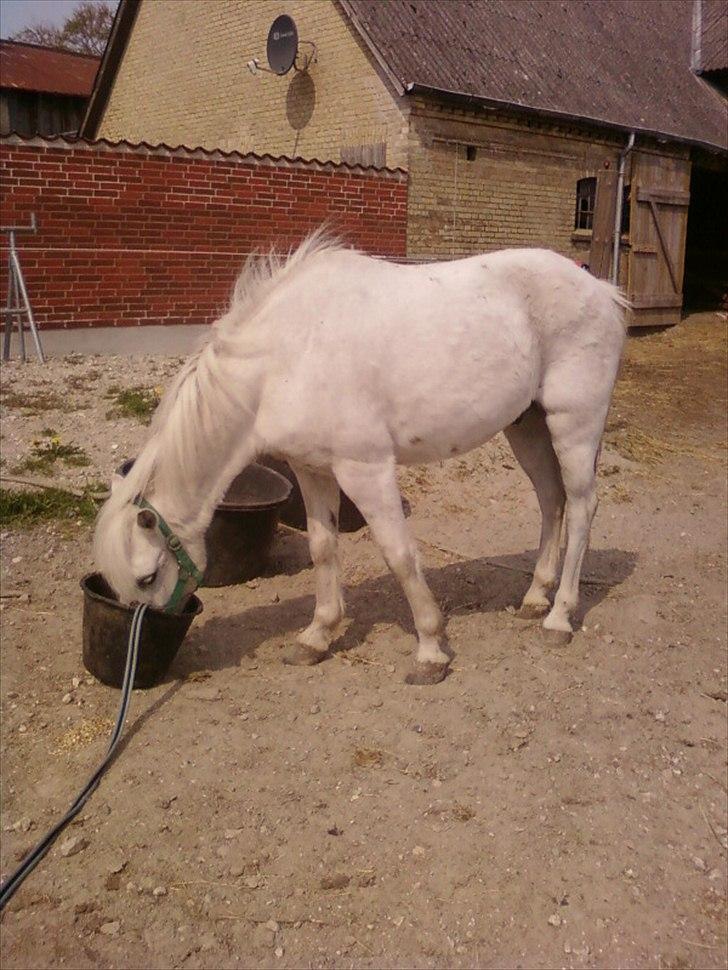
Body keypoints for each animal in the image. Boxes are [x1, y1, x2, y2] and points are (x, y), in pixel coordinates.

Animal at [94, 233, 628, 680]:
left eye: (147, 576)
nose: (138, 653)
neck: (288, 355)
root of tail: (602, 290)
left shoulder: (365, 470)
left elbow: (399, 554)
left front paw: (430, 650)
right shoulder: (312, 470)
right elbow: (322, 548)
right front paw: (316, 637)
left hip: (573, 425)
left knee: (582, 506)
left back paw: (559, 618)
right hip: (527, 426)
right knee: (552, 500)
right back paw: (536, 598)